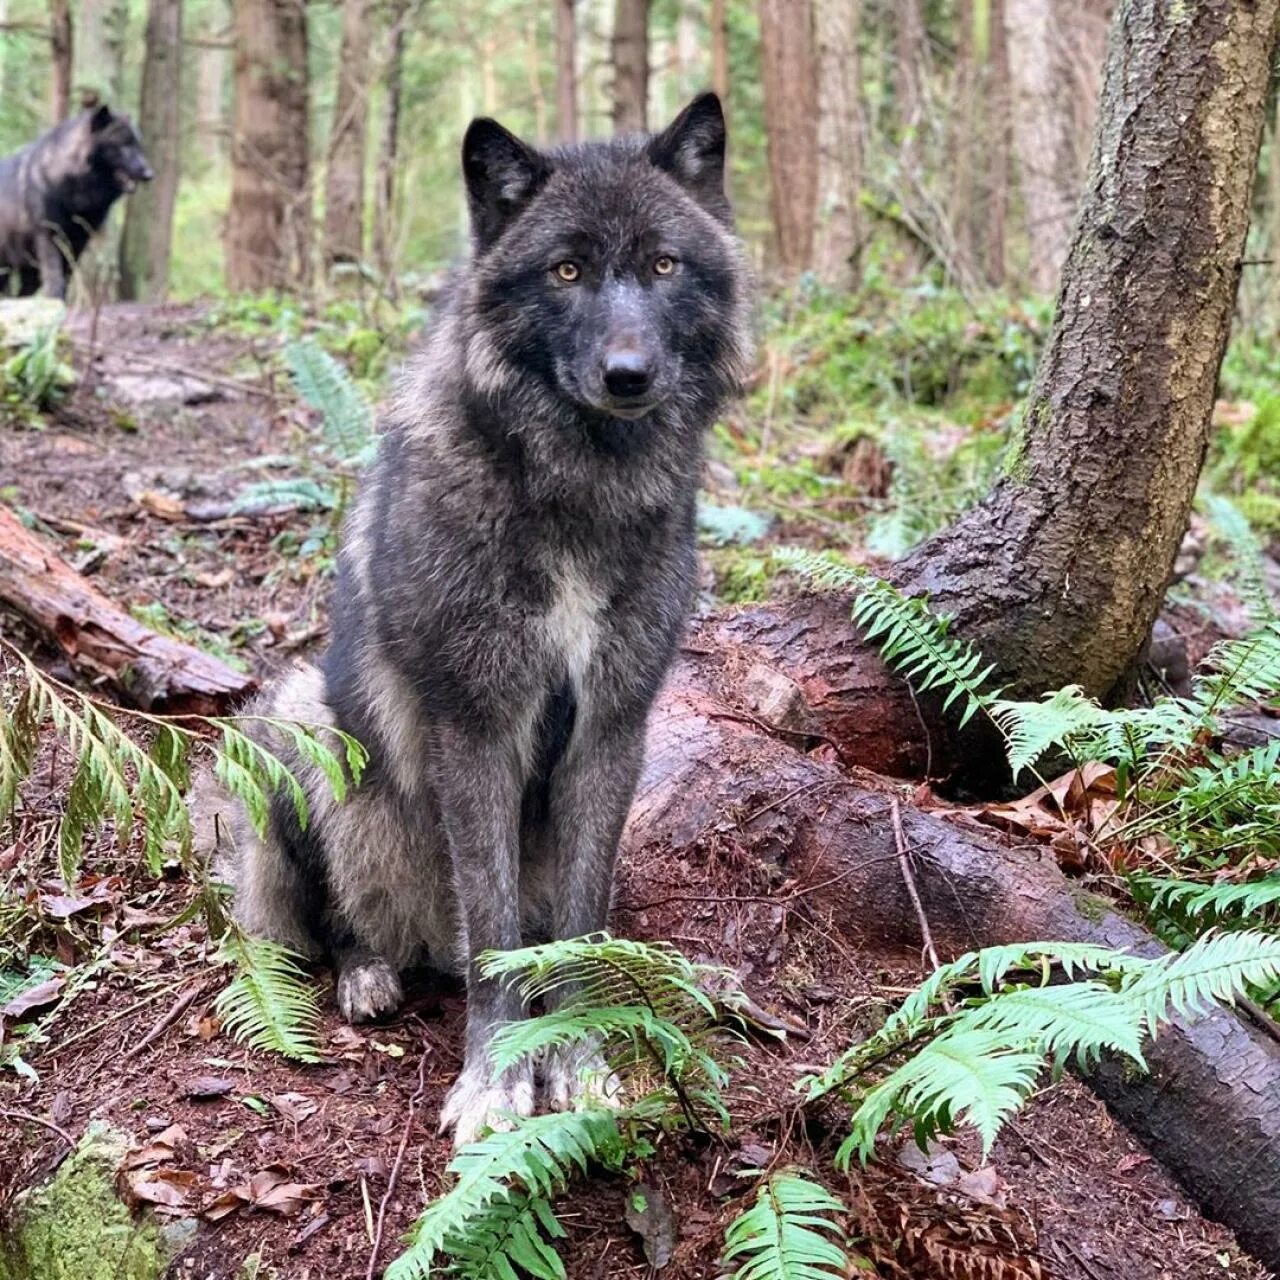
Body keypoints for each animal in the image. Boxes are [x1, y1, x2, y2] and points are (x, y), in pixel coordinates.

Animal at [0, 103, 153, 298]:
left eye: (138, 146)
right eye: (124, 145)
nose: (150, 175)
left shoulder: (78, 241)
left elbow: (66, 277)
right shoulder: (48, 236)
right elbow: (55, 276)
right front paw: (55, 299)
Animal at [226, 94, 752, 1146]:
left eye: (664, 265)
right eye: (567, 271)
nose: (628, 373)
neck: (578, 491)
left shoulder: (610, 730)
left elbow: (578, 927)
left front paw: (578, 1059)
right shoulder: (476, 729)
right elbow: (498, 935)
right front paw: (500, 1079)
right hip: (296, 721)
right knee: (338, 926)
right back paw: (367, 974)